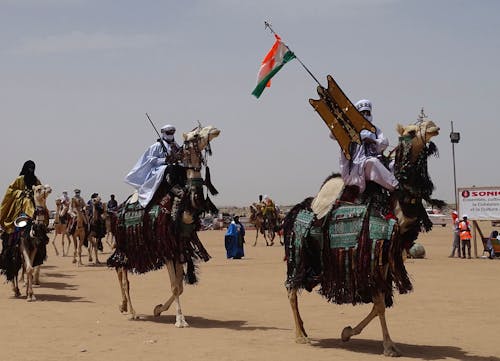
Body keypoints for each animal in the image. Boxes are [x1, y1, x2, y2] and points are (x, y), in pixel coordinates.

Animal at [108, 124, 220, 324]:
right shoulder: (166, 246)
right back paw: (132, 312)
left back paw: (123, 306)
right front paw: (180, 320)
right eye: (195, 134)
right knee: (123, 275)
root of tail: (116, 211)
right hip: (125, 245)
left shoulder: (179, 245)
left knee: (121, 271)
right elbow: (175, 286)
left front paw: (158, 309)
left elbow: (180, 286)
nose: (214, 129)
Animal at [286, 119, 442, 356]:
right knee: (292, 290)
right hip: (297, 253)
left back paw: (303, 329)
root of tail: (295, 210)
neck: (391, 207)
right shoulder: (371, 255)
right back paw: (300, 336)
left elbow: (379, 303)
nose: (432, 125)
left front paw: (348, 332)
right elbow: (379, 302)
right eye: (411, 131)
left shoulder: (385, 260)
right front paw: (388, 346)